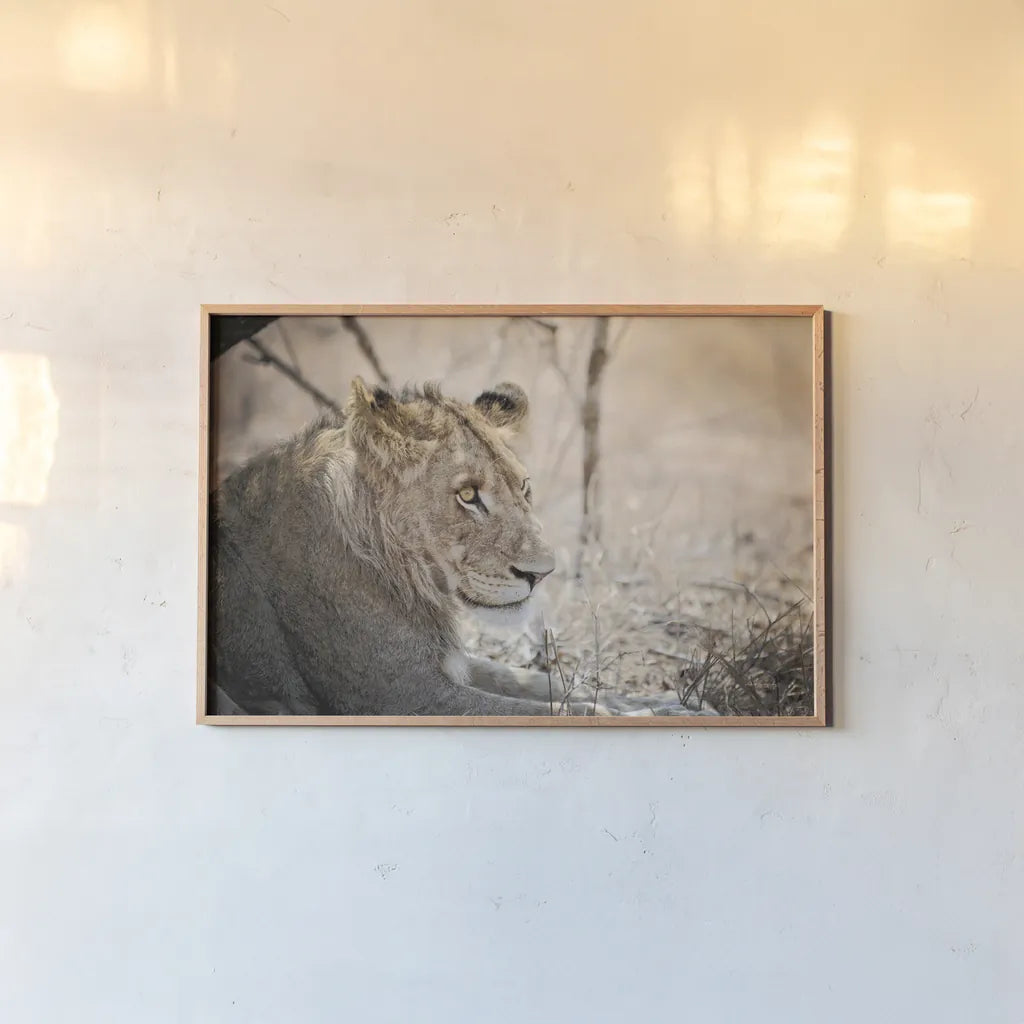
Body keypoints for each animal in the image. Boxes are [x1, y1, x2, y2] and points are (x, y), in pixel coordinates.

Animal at [208, 376, 705, 717]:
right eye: (468, 495)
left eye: (524, 488)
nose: (541, 573)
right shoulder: (400, 696)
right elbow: (541, 710)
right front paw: (643, 715)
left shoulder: (443, 666)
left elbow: (531, 681)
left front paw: (662, 703)